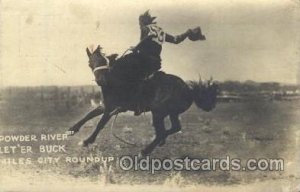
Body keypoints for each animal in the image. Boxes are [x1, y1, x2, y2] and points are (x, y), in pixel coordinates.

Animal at [68, 45, 218, 156]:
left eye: (105, 61)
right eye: (90, 63)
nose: (100, 80)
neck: (116, 81)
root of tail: (189, 90)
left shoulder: (111, 109)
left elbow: (100, 124)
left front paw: (87, 141)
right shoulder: (105, 106)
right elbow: (88, 116)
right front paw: (72, 130)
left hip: (158, 113)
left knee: (162, 131)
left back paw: (145, 151)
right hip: (170, 113)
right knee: (175, 127)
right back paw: (159, 142)